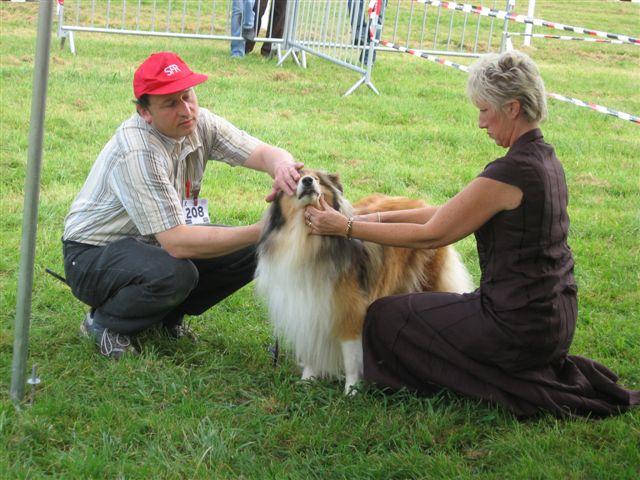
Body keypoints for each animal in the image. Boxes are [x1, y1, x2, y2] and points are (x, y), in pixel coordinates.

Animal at [256, 169, 476, 394]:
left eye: (317, 179)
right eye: (295, 178)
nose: (308, 181)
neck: (305, 238)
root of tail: (422, 204)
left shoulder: (349, 312)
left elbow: (351, 359)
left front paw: (351, 391)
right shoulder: (307, 307)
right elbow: (310, 349)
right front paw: (307, 381)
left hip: (429, 282)